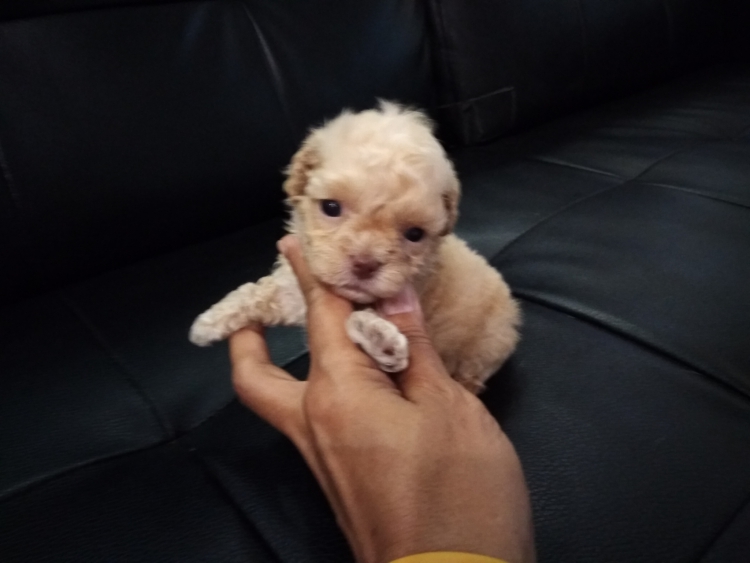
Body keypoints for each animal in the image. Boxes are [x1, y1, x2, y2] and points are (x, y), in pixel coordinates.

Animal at [189, 102, 520, 393]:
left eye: (414, 234)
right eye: (331, 207)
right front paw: (209, 322)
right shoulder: (295, 289)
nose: (364, 264)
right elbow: (258, 292)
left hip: (486, 346)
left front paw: (378, 337)